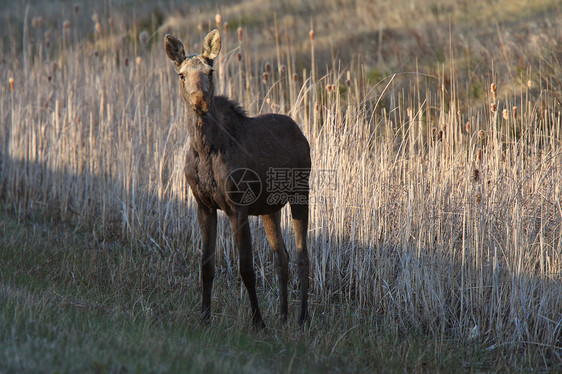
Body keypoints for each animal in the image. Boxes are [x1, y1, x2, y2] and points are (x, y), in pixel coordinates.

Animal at [162, 30, 310, 328]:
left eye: (210, 71)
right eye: (181, 75)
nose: (200, 102)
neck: (204, 149)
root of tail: (301, 134)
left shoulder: (237, 206)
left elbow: (246, 269)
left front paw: (257, 321)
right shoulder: (204, 205)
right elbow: (206, 265)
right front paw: (205, 316)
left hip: (301, 192)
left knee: (303, 256)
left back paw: (302, 319)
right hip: (270, 208)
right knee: (282, 256)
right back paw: (283, 316)